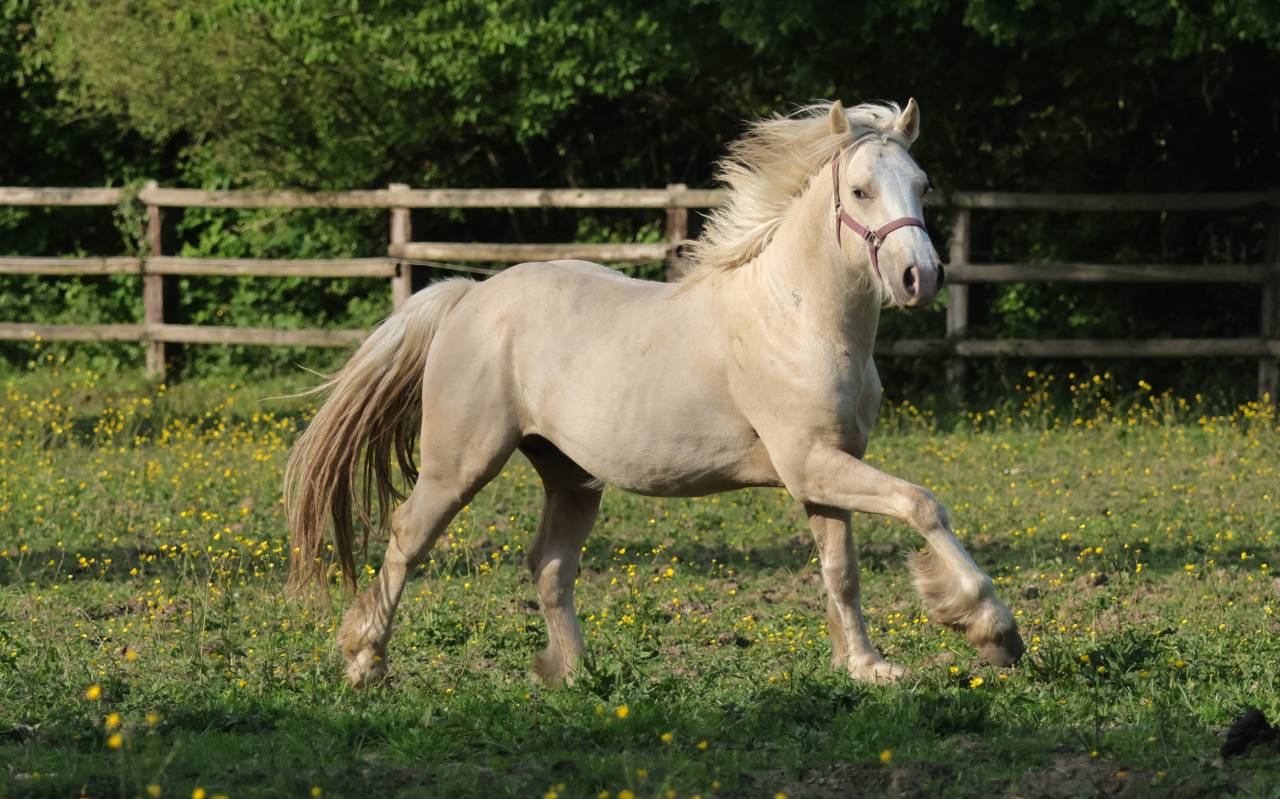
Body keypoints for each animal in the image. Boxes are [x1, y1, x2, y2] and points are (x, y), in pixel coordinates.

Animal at [285, 99, 1025, 688]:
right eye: (863, 190)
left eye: (921, 184)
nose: (918, 277)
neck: (798, 318)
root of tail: (470, 296)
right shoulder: (812, 462)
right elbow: (922, 505)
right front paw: (992, 629)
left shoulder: (827, 471)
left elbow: (841, 570)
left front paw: (867, 667)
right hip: (459, 463)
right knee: (409, 538)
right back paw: (365, 662)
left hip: (570, 475)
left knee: (549, 565)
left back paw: (575, 674)